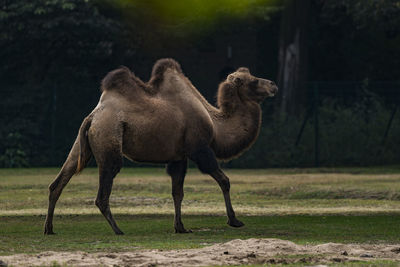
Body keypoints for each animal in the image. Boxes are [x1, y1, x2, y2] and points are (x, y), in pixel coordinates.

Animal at [42, 58, 276, 234]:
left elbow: (177, 192)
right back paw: (118, 230)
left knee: (59, 181)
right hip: (108, 137)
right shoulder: (199, 149)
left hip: (82, 142)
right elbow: (224, 180)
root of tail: (93, 116)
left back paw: (49, 228)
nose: (273, 85)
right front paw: (234, 221)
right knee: (103, 190)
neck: (215, 123)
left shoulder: (179, 156)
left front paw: (180, 227)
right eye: (253, 81)